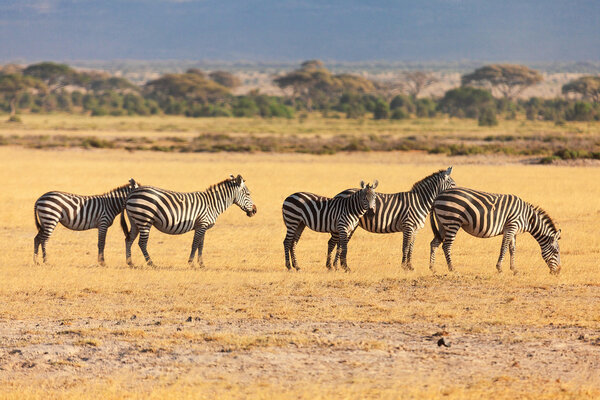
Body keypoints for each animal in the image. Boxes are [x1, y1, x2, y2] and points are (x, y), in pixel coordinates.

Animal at [119, 173, 255, 268]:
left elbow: (201, 245)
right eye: (248, 194)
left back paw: (130, 263)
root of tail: (132, 193)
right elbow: (195, 244)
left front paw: (201, 264)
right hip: (144, 220)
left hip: (135, 221)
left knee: (128, 239)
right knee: (142, 243)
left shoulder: (202, 226)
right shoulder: (202, 224)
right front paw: (191, 263)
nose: (255, 210)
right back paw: (151, 263)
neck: (212, 204)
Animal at [428, 188, 560, 276]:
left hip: (443, 223)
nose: (558, 272)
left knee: (434, 243)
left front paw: (514, 269)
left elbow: (512, 249)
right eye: (556, 252)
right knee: (446, 245)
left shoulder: (514, 231)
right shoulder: (511, 226)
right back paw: (452, 269)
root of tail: (437, 197)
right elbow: (504, 248)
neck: (528, 218)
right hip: (452, 221)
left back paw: (432, 268)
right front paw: (500, 268)